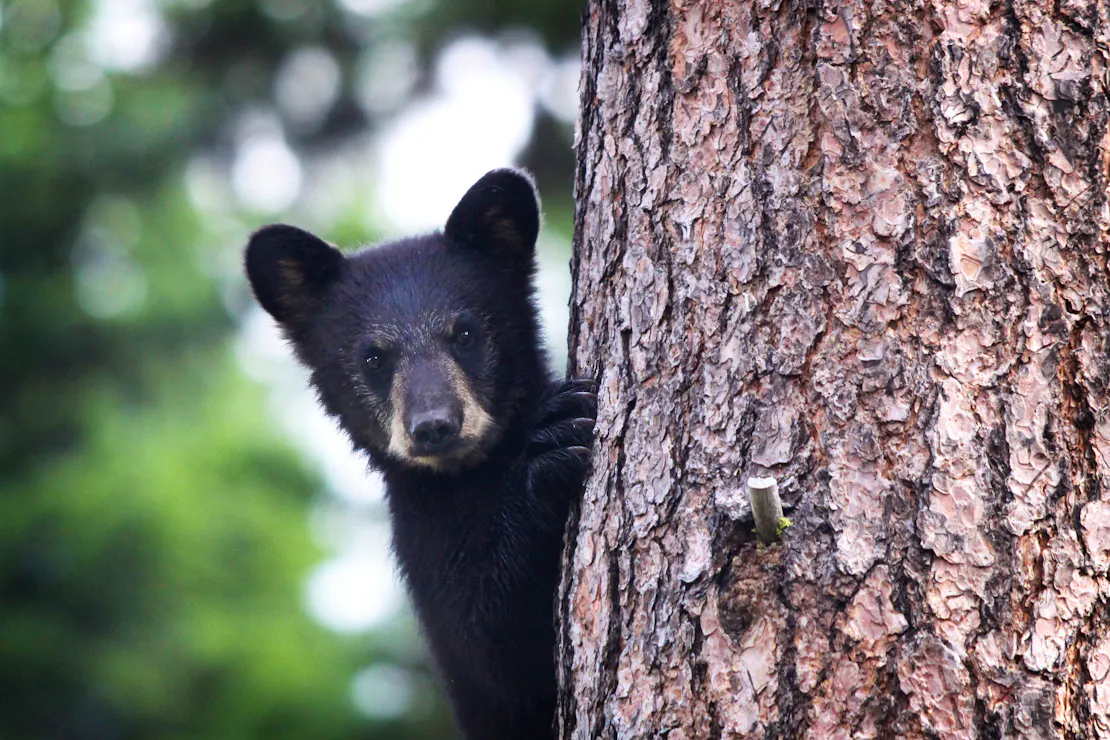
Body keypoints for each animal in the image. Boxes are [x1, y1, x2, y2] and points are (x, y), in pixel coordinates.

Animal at [243, 169, 596, 740]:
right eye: (373, 358)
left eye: (465, 333)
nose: (434, 426)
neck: (474, 473)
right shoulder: (421, 537)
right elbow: (493, 649)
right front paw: (552, 445)